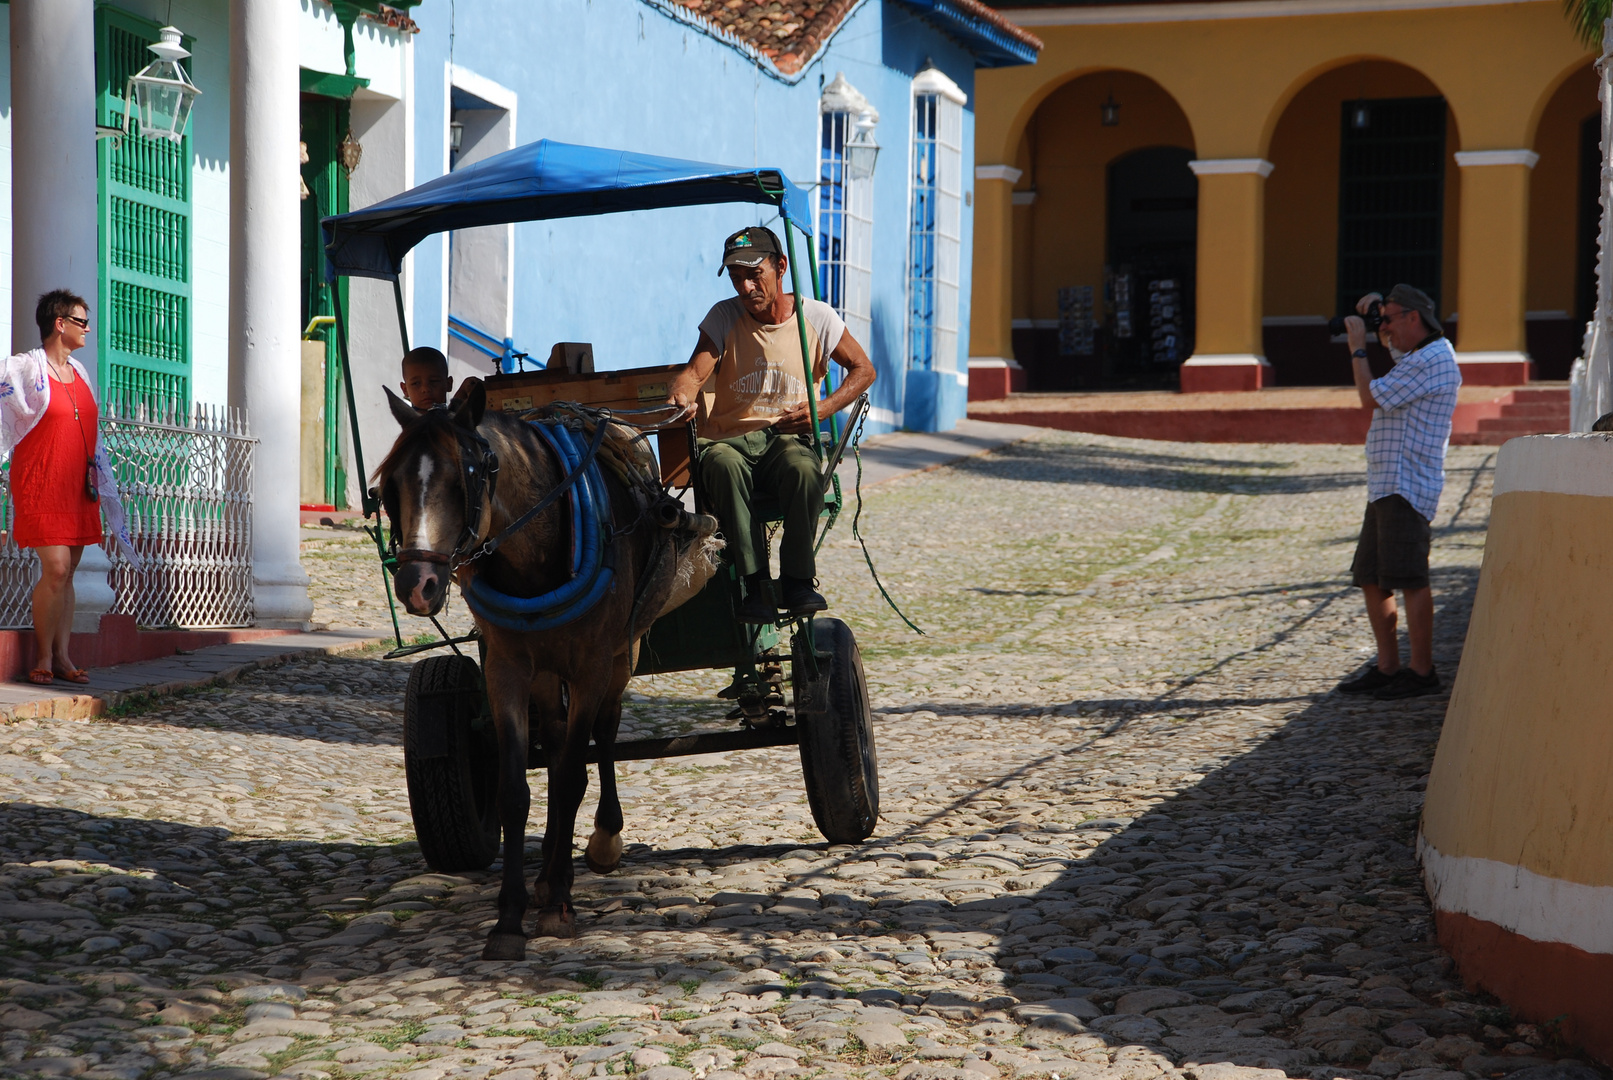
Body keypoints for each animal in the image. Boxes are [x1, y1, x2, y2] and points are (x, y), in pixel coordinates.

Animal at [377, 385, 719, 960]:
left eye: (467, 476)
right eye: (390, 484)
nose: (416, 585)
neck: (534, 551)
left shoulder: (591, 666)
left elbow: (575, 776)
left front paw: (560, 904)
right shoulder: (508, 669)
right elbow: (517, 790)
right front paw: (510, 917)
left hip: (622, 654)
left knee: (602, 733)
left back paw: (602, 841)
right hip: (544, 673)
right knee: (558, 746)